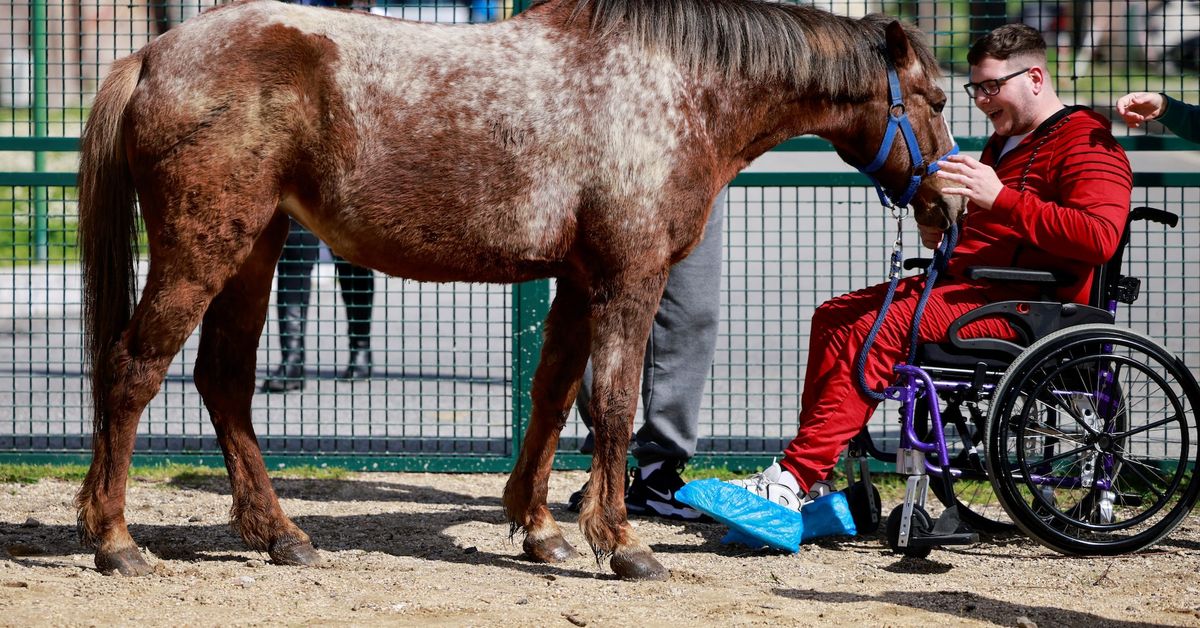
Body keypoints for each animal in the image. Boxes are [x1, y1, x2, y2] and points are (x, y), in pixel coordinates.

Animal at [76, 0, 961, 580]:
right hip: (202, 252)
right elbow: (613, 405)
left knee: (223, 381)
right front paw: (623, 543)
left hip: (254, 253)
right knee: (131, 371)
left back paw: (279, 535)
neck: (673, 85)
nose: (948, 207)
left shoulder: (574, 282)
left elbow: (552, 396)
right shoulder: (629, 278)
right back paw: (116, 541)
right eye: (937, 98)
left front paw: (540, 529)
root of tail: (152, 54)